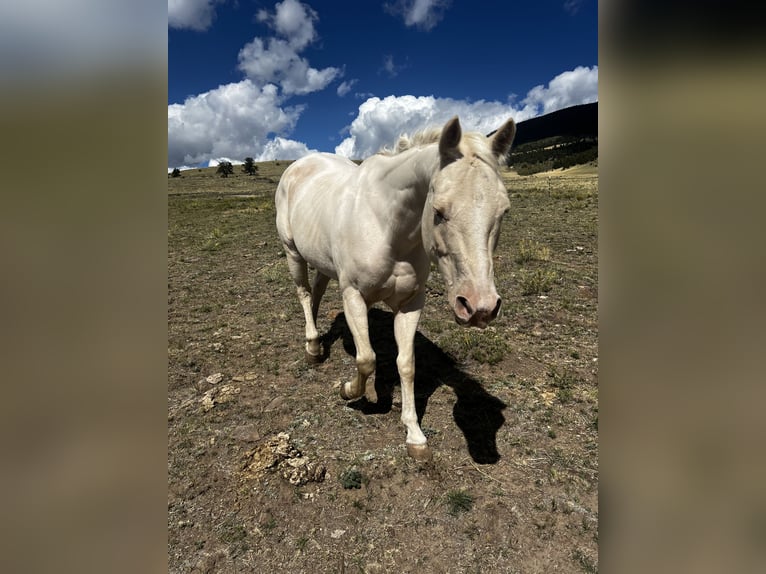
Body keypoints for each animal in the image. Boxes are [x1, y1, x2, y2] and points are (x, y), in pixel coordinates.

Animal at [275, 116, 516, 460]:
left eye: (504, 211)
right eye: (439, 211)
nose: (478, 306)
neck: (387, 226)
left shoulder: (411, 303)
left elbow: (407, 364)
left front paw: (414, 434)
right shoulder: (353, 297)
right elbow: (366, 358)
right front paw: (349, 391)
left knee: (317, 291)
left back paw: (319, 340)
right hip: (292, 252)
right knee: (305, 294)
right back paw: (312, 347)